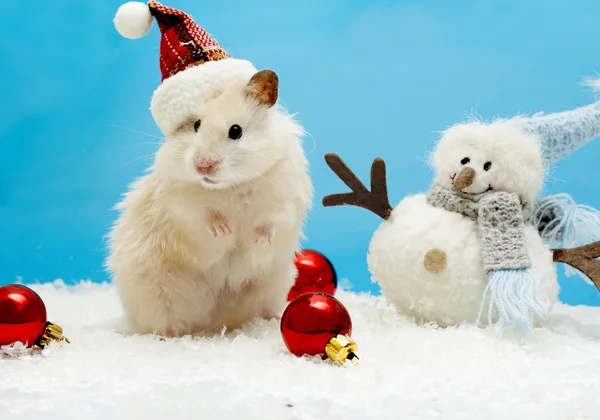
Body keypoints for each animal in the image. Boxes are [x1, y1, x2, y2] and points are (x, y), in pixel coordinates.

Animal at [106, 69, 314, 338]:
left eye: (235, 131)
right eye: (196, 125)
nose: (203, 165)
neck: (230, 186)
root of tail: (212, 324)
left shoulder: (284, 199)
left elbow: (270, 221)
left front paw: (257, 240)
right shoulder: (182, 208)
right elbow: (205, 217)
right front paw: (224, 230)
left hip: (273, 285)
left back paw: (268, 321)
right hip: (157, 293)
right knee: (164, 323)